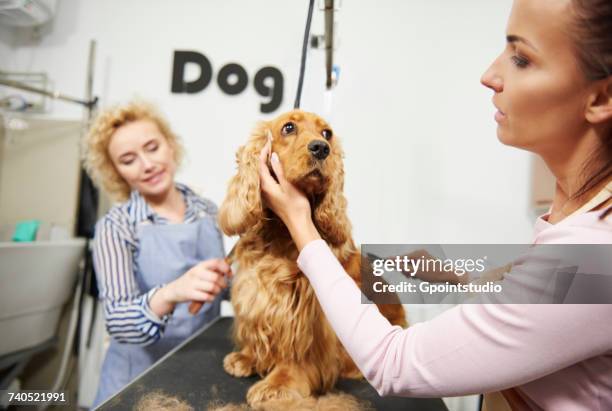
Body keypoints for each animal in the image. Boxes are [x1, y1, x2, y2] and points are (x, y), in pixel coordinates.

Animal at [216, 110, 406, 408]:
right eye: (288, 127)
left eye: (327, 133)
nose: (321, 148)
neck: (281, 234)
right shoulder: (254, 292)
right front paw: (247, 357)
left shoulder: (308, 315)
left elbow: (298, 355)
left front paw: (278, 384)